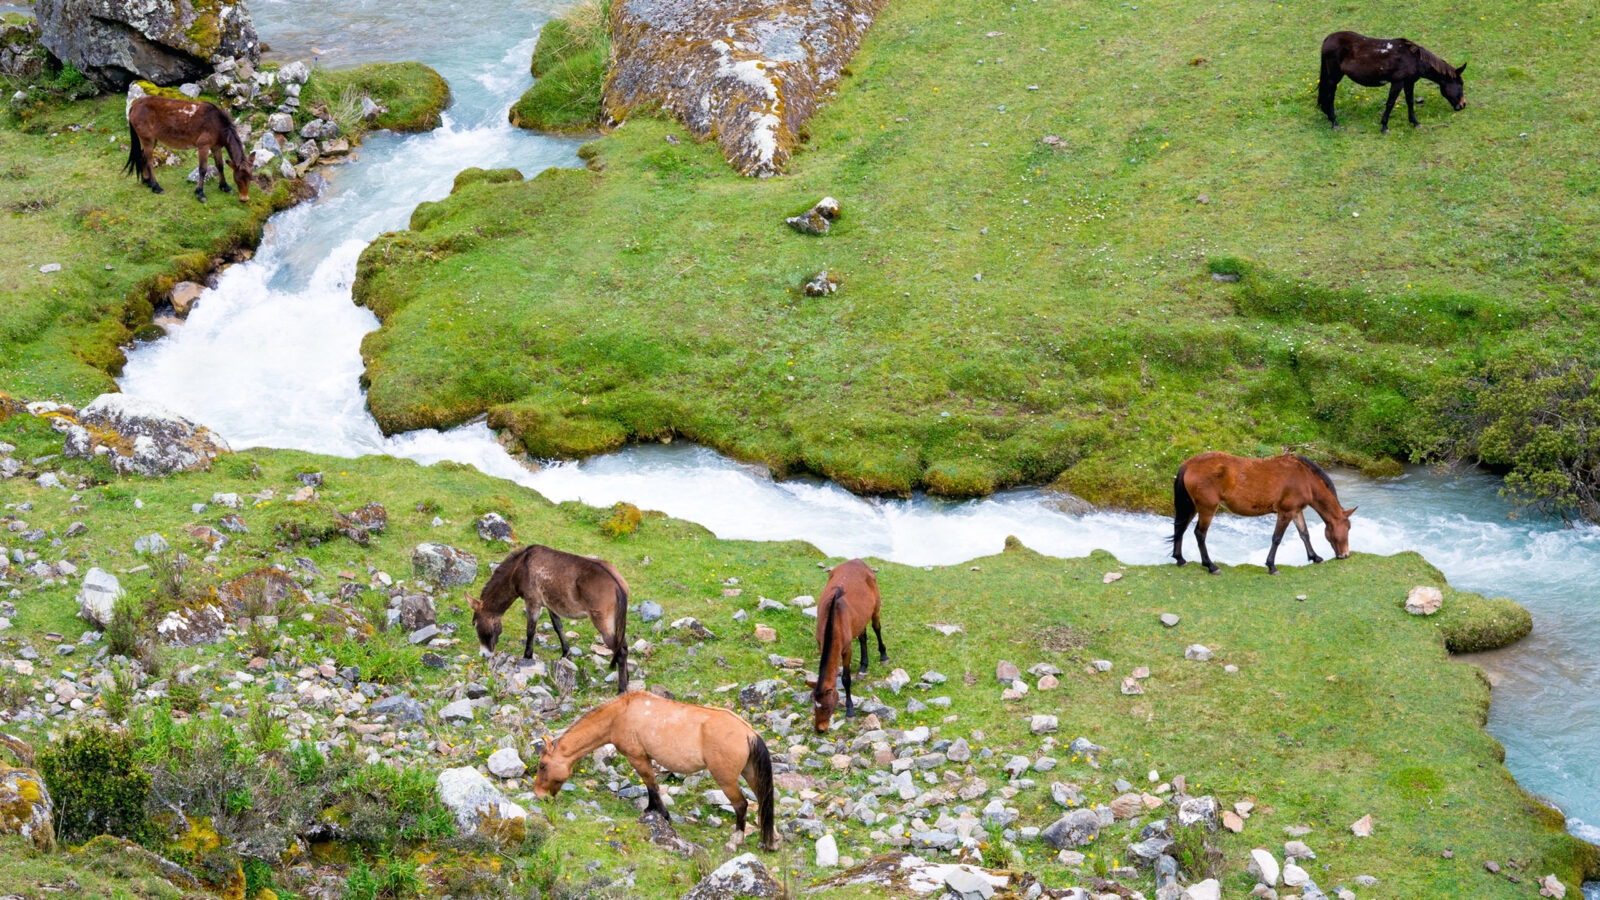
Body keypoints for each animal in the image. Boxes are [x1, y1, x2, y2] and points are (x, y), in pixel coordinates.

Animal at [468, 544, 629, 694]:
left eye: (475, 623)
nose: (484, 654)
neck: (520, 566)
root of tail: (617, 585)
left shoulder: (533, 602)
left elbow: (530, 631)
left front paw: (527, 657)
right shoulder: (550, 605)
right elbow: (558, 626)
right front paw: (565, 654)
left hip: (602, 621)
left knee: (620, 650)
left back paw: (621, 689)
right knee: (624, 647)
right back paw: (626, 679)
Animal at [531, 692, 777, 852]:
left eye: (542, 765)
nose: (539, 795)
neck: (620, 714)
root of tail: (749, 733)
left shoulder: (638, 757)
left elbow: (651, 784)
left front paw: (658, 814)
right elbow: (651, 785)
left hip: (726, 779)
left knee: (741, 805)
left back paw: (735, 841)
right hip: (750, 774)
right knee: (763, 801)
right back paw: (772, 840)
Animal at [812, 559, 887, 732]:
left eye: (826, 707)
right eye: (814, 706)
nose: (819, 729)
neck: (833, 620)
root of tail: (858, 561)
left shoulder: (846, 649)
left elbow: (846, 678)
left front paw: (850, 710)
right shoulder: (821, 644)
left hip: (875, 607)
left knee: (877, 628)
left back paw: (883, 656)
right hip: (860, 617)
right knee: (863, 636)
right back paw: (863, 667)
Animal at [1171, 452, 1356, 575]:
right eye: (1347, 528)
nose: (1345, 555)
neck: (1304, 479)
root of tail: (1188, 464)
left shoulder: (1296, 512)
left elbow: (1304, 534)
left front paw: (1315, 557)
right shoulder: (1286, 512)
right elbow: (1277, 538)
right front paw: (1271, 566)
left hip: (1192, 507)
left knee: (1180, 528)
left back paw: (1180, 559)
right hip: (1207, 508)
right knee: (1199, 534)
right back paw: (1211, 566)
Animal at [1318, 31, 1466, 133]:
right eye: (1461, 84)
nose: (1463, 105)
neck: (1414, 59)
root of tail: (1327, 39)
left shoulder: (1409, 82)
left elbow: (1410, 101)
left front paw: (1415, 122)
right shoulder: (1397, 82)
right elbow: (1390, 103)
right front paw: (1384, 126)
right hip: (1334, 76)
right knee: (1330, 96)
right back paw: (1334, 121)